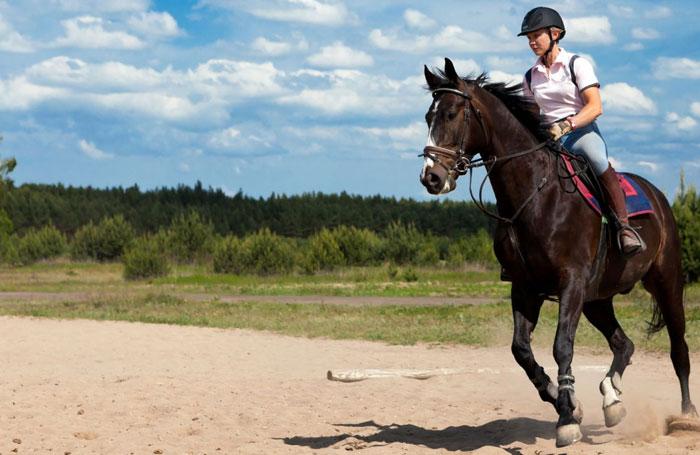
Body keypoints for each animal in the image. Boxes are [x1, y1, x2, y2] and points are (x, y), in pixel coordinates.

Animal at [418, 58, 696, 448]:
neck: (535, 195)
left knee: (679, 349)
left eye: (453, 114)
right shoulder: (525, 288)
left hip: (666, 282)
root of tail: (657, 195)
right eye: (429, 116)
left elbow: (562, 346)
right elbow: (521, 350)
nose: (431, 178)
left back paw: (686, 416)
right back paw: (612, 400)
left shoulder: (571, 283)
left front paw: (566, 419)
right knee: (623, 344)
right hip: (597, 299)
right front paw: (567, 403)